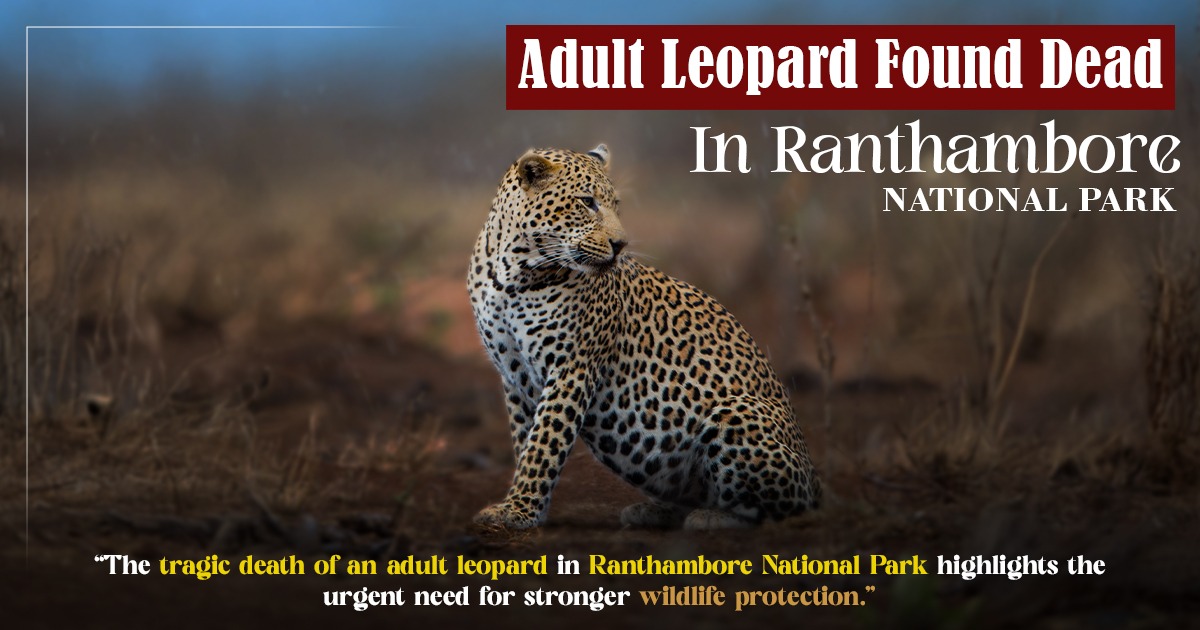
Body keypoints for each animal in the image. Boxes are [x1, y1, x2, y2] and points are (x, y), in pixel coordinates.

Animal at [467, 144, 820, 531]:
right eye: (587, 202)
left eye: (616, 204)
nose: (620, 244)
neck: (514, 272)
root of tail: (815, 476)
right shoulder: (514, 376)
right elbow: (525, 442)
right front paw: (526, 509)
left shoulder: (572, 368)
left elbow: (544, 444)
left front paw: (519, 511)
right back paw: (654, 511)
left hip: (737, 413)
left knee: (780, 508)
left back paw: (711, 517)